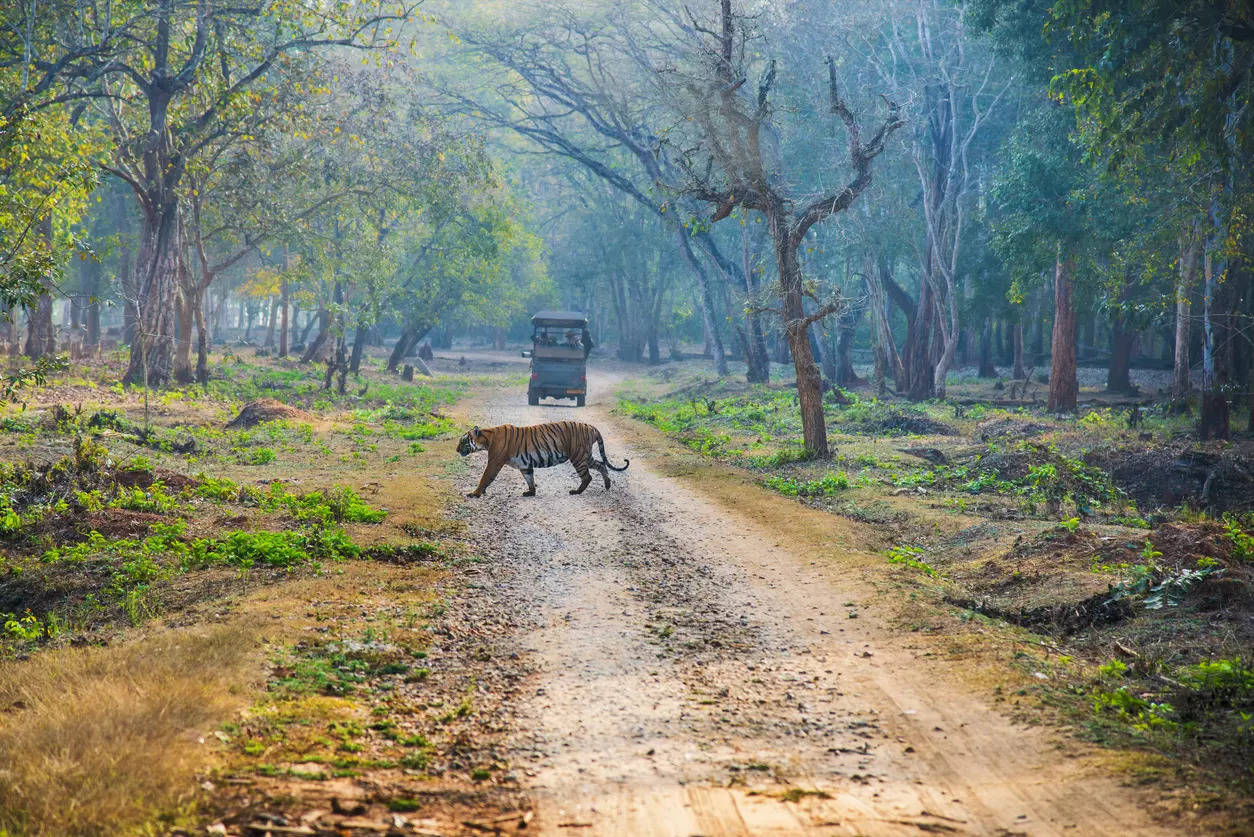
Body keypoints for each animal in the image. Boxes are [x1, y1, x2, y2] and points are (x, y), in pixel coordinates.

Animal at [456, 419, 627, 496]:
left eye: (463, 441)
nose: (456, 450)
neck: (487, 439)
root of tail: (592, 427)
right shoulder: (525, 465)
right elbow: (529, 478)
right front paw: (531, 492)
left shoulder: (494, 462)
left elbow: (485, 477)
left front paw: (475, 493)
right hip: (586, 456)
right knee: (601, 465)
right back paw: (607, 485)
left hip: (578, 456)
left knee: (588, 476)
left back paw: (576, 491)